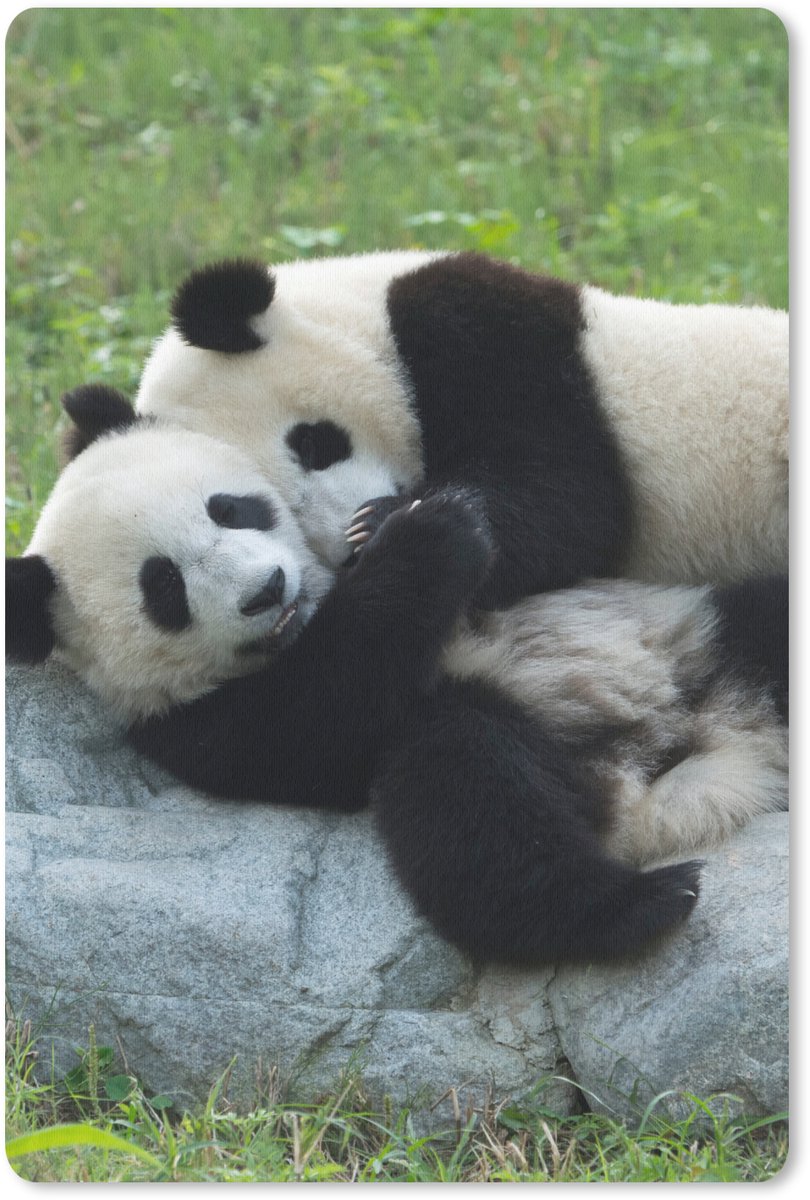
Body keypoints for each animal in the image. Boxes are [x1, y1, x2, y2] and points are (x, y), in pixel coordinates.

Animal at [6, 385, 788, 965]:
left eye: (229, 509)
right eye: (164, 588)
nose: (267, 591)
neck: (313, 611)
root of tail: (678, 765)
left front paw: (395, 517)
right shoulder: (192, 722)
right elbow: (317, 713)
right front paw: (432, 531)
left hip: (703, 637)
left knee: (766, 623)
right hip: (520, 737)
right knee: (473, 801)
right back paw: (638, 904)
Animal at [134, 250, 789, 609]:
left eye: (316, 442)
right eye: (266, 511)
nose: (347, 548)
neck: (368, 314)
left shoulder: (493, 336)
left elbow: (569, 496)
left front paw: (383, 523)